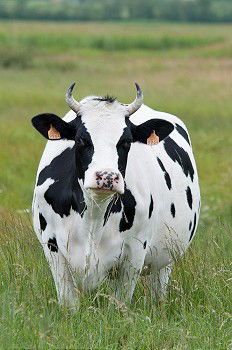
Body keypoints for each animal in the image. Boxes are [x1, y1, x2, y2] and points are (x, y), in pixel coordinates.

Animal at [31, 83, 200, 308]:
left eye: (126, 141)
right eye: (81, 139)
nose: (107, 176)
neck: (93, 217)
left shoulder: (134, 253)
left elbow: (119, 305)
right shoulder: (53, 251)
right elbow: (69, 305)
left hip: (166, 257)